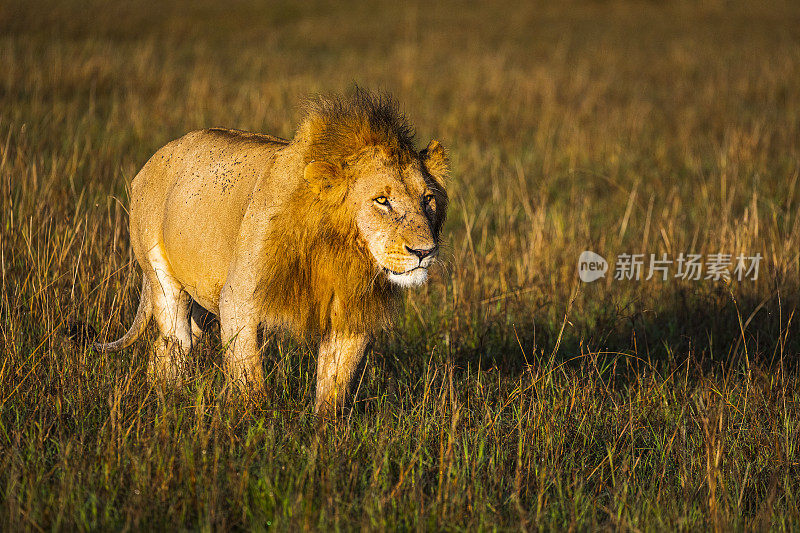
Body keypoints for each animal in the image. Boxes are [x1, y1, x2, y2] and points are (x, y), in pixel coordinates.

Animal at [94, 89, 450, 416]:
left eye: (428, 199)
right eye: (382, 200)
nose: (424, 251)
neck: (338, 251)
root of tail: (157, 154)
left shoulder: (351, 315)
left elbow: (333, 389)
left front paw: (325, 436)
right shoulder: (237, 299)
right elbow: (249, 379)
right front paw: (254, 427)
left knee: (169, 346)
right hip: (163, 279)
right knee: (175, 340)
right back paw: (171, 399)